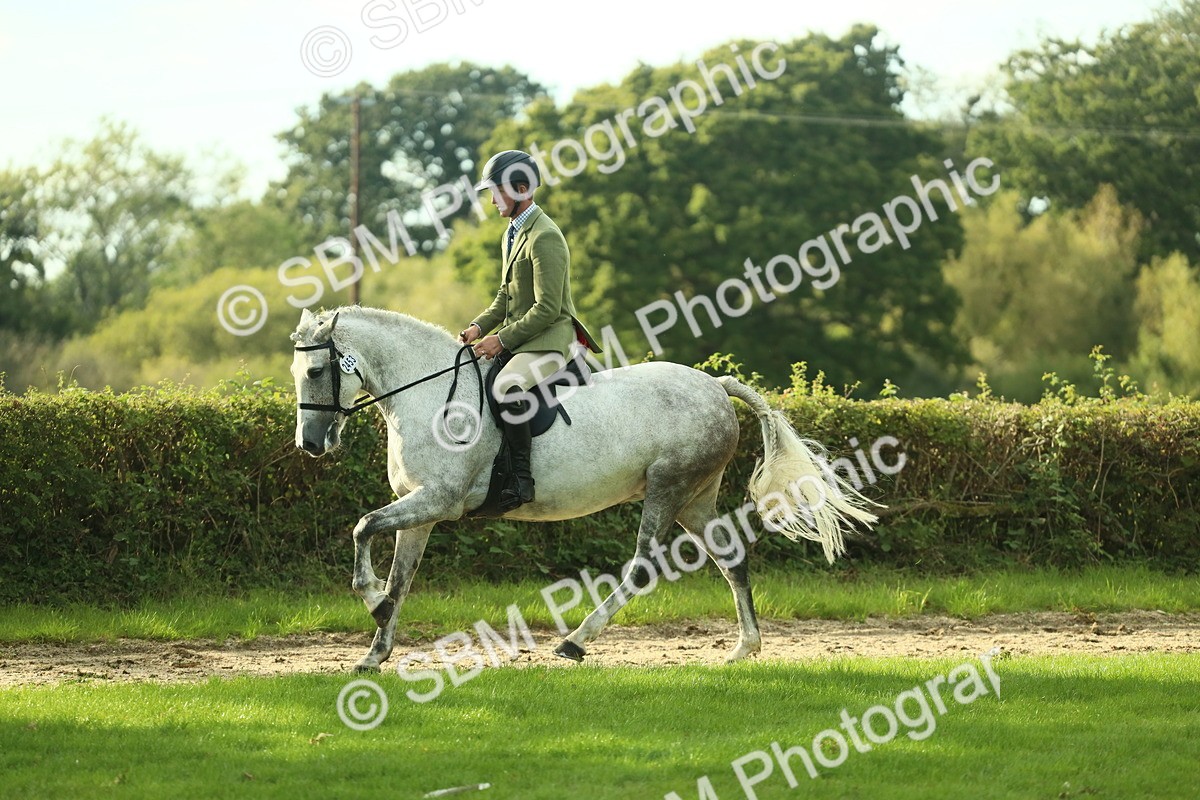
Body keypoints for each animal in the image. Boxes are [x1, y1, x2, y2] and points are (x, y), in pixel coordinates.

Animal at [290, 306, 879, 671]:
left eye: (316, 371)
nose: (310, 444)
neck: (431, 394)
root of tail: (714, 384)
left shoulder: (438, 500)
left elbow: (363, 527)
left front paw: (371, 602)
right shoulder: (422, 510)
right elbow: (400, 576)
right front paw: (375, 648)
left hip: (667, 489)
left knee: (642, 567)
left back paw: (574, 642)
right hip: (695, 498)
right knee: (731, 558)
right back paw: (744, 648)